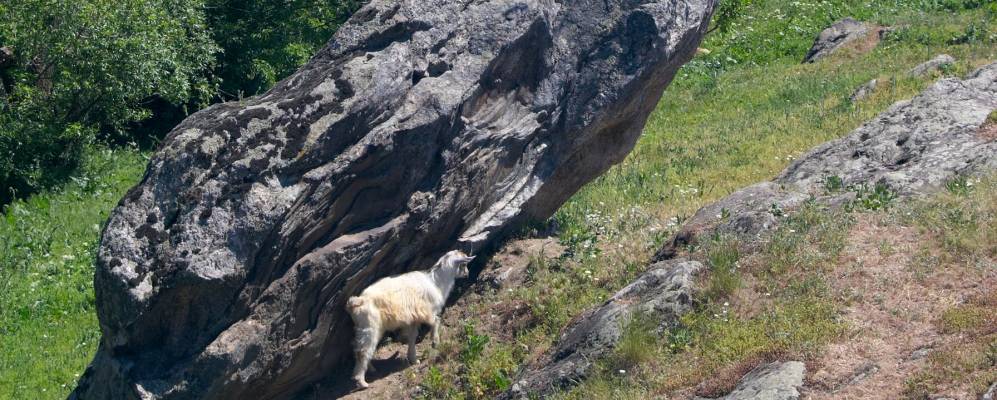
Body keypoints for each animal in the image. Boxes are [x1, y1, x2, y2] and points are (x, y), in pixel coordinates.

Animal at [346, 250, 474, 388]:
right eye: (464, 264)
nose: (467, 274)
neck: (436, 282)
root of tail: (358, 301)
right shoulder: (428, 311)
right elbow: (436, 322)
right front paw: (435, 342)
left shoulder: (413, 319)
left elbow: (412, 337)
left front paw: (414, 359)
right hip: (370, 326)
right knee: (363, 351)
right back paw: (361, 381)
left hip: (364, 327)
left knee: (359, 347)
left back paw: (370, 369)